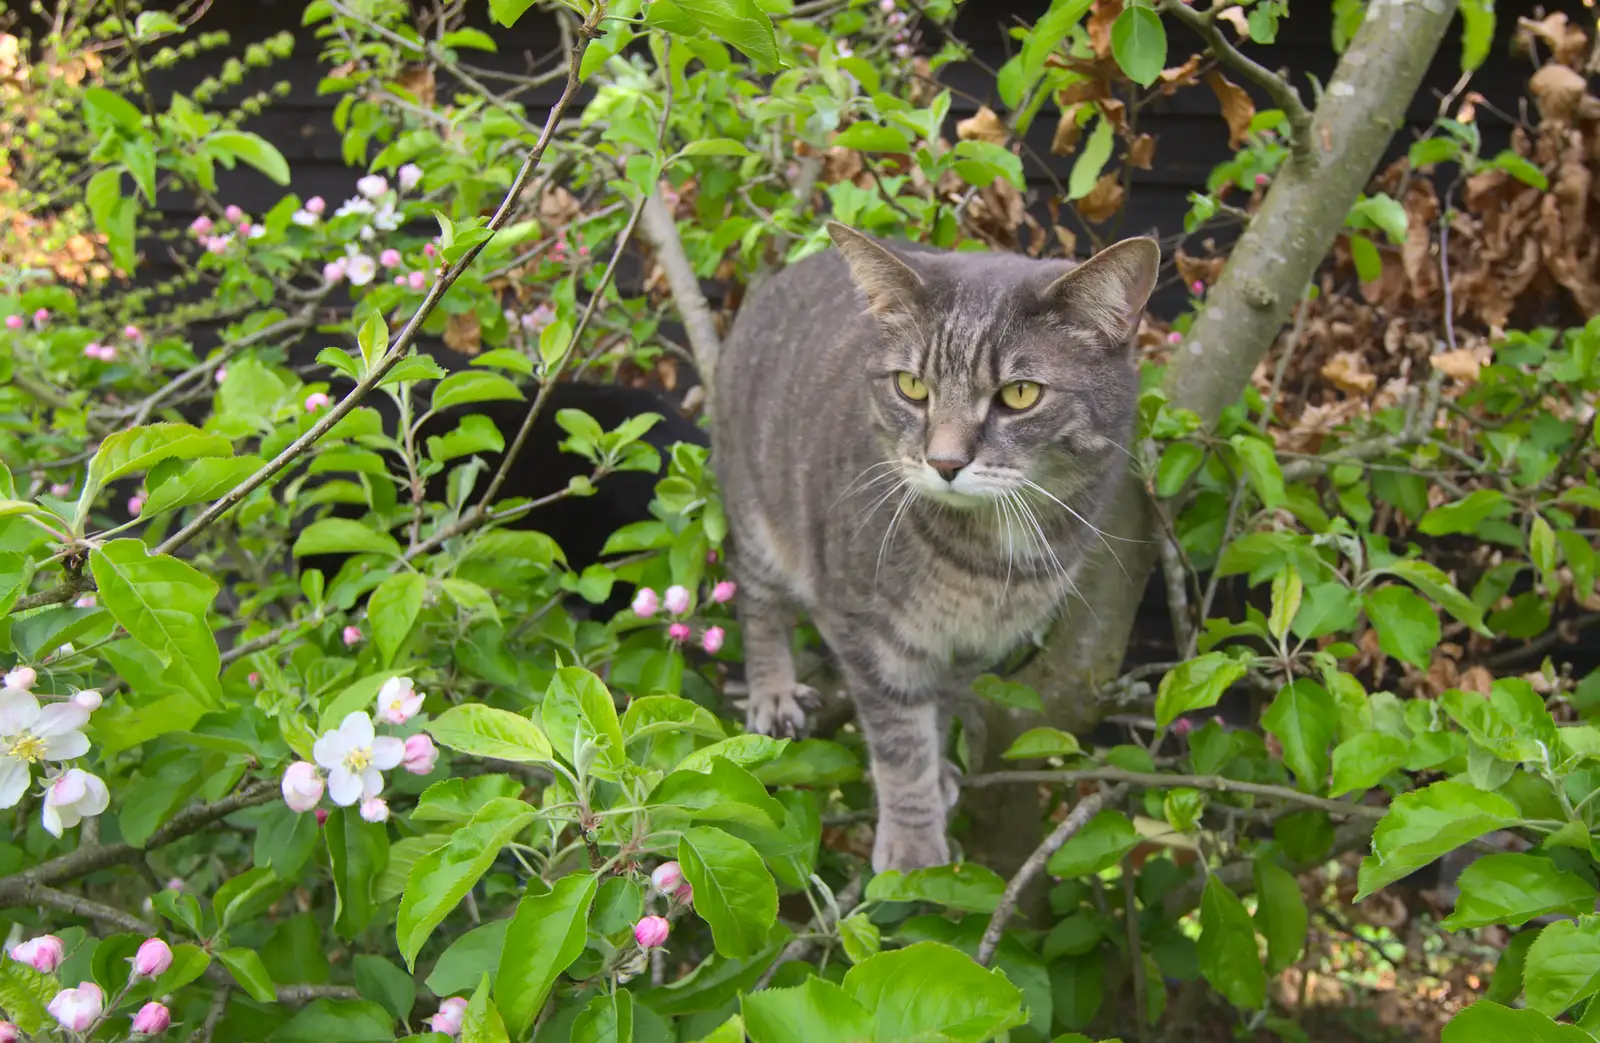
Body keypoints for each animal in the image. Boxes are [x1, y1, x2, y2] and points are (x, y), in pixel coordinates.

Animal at [720, 222, 1158, 870]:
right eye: (912, 387)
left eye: (1020, 394)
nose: (945, 462)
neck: (988, 558)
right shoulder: (862, 629)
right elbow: (899, 738)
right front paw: (912, 840)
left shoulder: (974, 644)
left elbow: (942, 698)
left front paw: (940, 765)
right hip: (756, 512)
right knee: (757, 600)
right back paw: (771, 690)